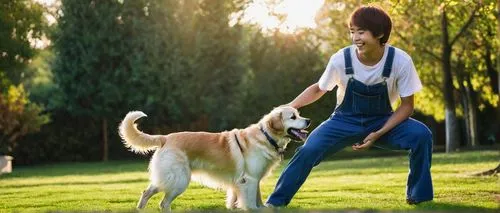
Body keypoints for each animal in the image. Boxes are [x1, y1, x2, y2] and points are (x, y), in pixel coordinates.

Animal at [119, 106, 310, 210]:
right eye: (293, 117)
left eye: (299, 114)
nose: (308, 120)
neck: (266, 136)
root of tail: (166, 137)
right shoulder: (249, 179)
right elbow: (251, 202)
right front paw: (253, 209)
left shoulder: (252, 180)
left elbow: (256, 199)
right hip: (180, 179)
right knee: (163, 203)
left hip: (168, 178)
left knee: (147, 192)